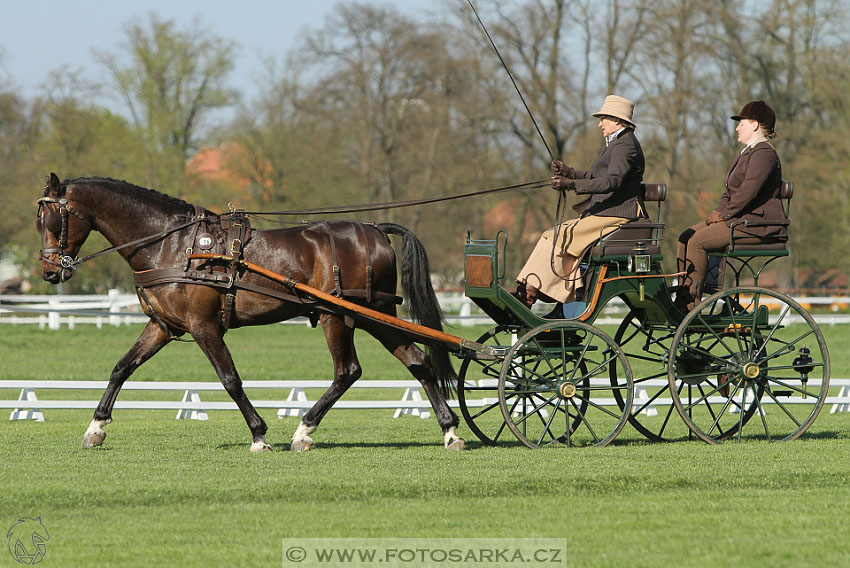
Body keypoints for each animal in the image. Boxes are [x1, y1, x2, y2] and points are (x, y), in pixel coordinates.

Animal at [36, 173, 464, 452]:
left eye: (51, 219)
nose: (50, 271)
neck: (173, 244)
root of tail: (373, 228)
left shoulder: (203, 326)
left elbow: (230, 380)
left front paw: (259, 435)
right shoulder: (163, 326)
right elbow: (122, 368)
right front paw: (96, 427)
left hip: (338, 316)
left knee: (348, 371)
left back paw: (304, 430)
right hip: (375, 314)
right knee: (418, 361)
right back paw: (450, 431)